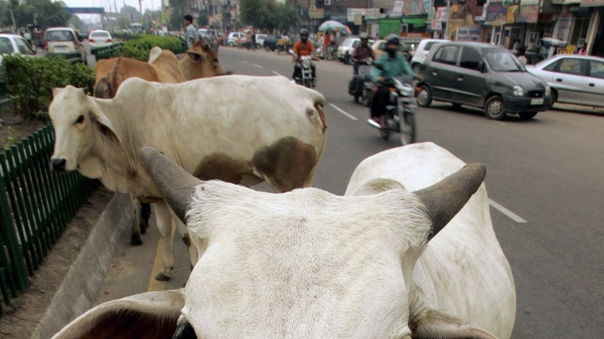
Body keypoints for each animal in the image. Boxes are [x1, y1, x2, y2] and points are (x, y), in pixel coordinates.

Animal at [49, 76, 328, 282]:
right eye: (52, 118)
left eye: (79, 118)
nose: (57, 162)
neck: (125, 122)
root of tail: (307, 96)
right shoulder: (157, 194)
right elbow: (164, 231)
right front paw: (165, 269)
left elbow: (185, 236)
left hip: (288, 182)